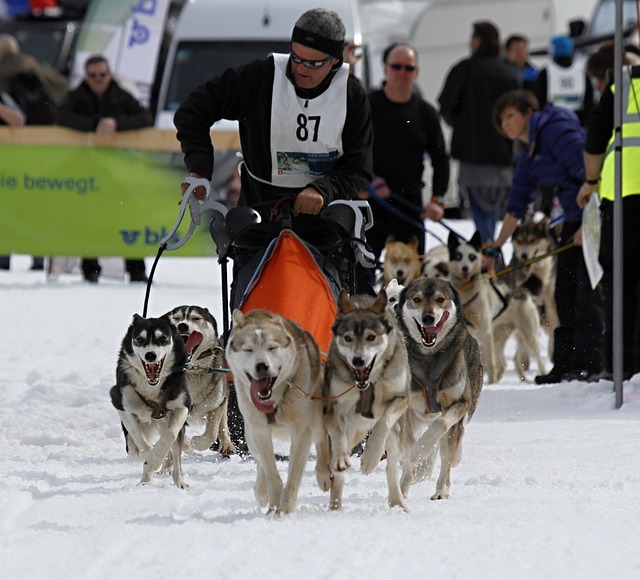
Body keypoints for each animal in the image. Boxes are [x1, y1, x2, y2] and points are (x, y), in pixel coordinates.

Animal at [110, 314, 190, 488]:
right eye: (140, 339)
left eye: (163, 338)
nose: (150, 355)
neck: (151, 387)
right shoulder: (120, 402)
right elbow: (142, 445)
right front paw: (151, 459)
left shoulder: (182, 406)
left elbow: (170, 435)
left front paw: (155, 459)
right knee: (134, 449)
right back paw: (144, 481)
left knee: (175, 452)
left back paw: (179, 482)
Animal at [164, 304, 236, 458]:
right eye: (176, 318)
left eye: (196, 318)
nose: (182, 325)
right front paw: (185, 444)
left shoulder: (217, 404)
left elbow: (211, 434)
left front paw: (194, 442)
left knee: (223, 424)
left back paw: (226, 444)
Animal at [225, 310, 330, 516]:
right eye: (248, 350)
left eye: (272, 347)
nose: (262, 366)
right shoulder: (260, 432)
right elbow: (272, 474)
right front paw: (274, 508)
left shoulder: (301, 433)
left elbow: (292, 480)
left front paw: (285, 511)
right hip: (250, 434)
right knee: (260, 462)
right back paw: (261, 491)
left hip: (316, 418)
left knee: (322, 439)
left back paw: (323, 474)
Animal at [324, 288, 410, 510]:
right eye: (347, 338)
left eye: (371, 337)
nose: (358, 360)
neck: (368, 383)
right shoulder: (333, 406)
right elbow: (337, 435)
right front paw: (341, 458)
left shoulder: (400, 397)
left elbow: (383, 421)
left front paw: (370, 457)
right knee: (338, 475)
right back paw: (334, 505)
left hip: (395, 437)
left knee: (391, 469)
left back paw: (397, 502)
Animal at [392, 278, 482, 500]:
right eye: (417, 299)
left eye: (441, 299)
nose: (428, 318)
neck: (429, 357)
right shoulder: (405, 410)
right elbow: (409, 448)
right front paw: (406, 481)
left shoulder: (460, 403)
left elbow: (439, 428)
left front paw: (421, 451)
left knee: (446, 455)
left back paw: (441, 489)